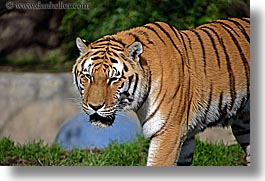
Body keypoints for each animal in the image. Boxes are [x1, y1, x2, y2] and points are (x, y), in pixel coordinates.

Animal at [72, 17, 250, 166]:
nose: (95, 106)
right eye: (87, 76)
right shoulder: (185, 138)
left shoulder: (169, 132)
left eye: (114, 79)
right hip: (243, 126)